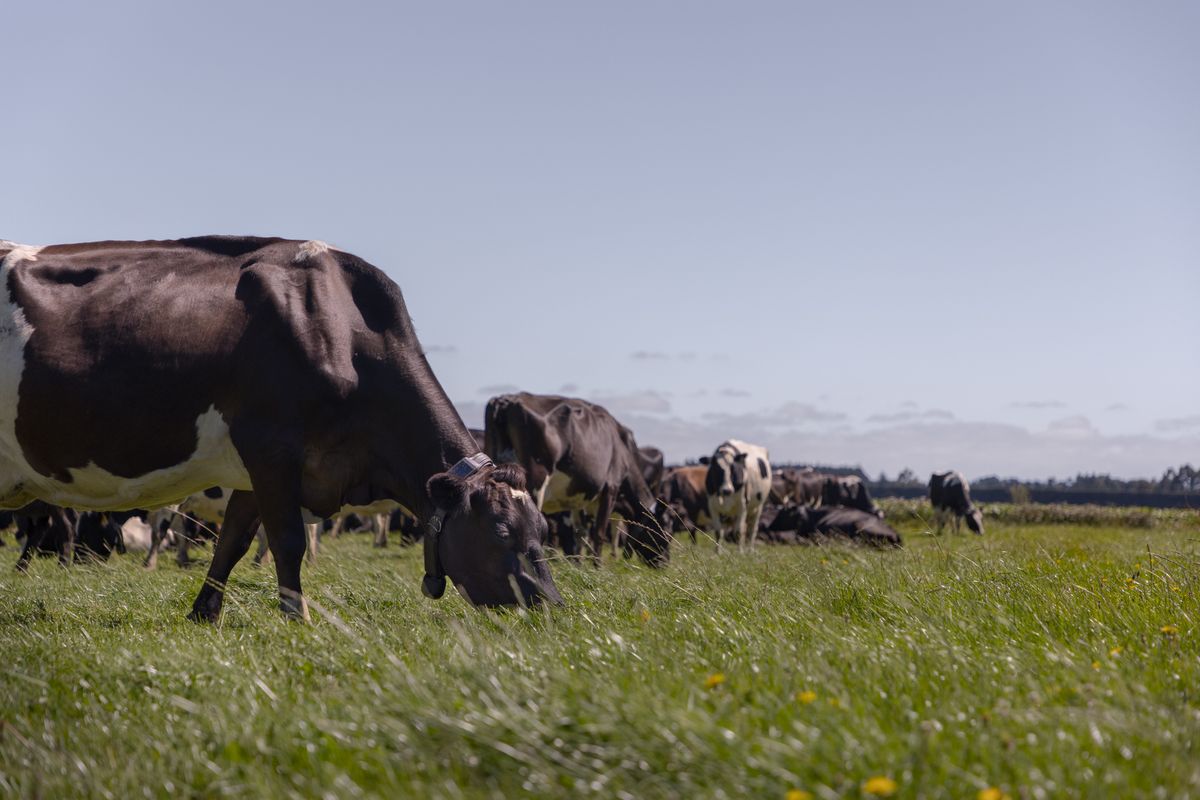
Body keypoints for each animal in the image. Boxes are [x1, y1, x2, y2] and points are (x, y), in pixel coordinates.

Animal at [0, 235, 561, 618]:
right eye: (501, 530)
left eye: (542, 529)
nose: (554, 604)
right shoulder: (269, 446)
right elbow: (287, 539)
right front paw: (299, 617)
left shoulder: (260, 469)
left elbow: (233, 539)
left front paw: (204, 613)